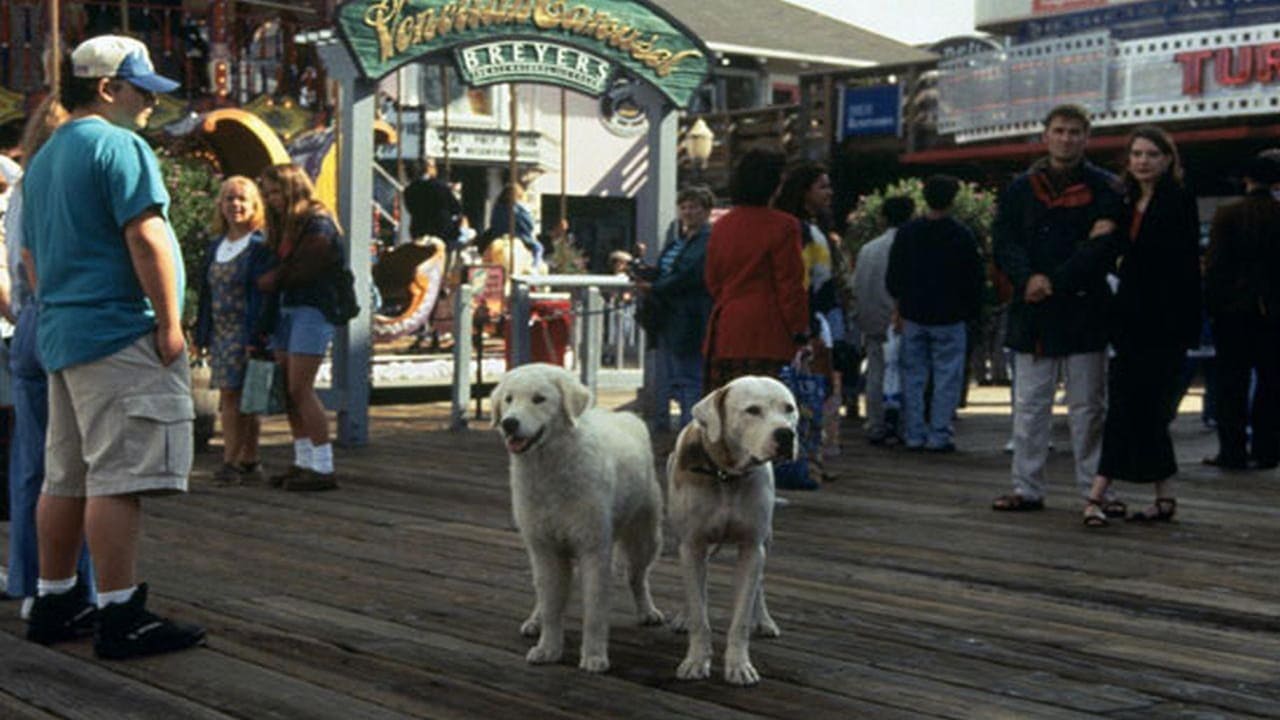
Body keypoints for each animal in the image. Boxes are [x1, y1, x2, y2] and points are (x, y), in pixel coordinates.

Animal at [491, 361, 665, 671]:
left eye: (539, 399)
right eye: (508, 399)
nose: (508, 423)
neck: (550, 470)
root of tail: (627, 417)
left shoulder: (594, 549)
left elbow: (594, 611)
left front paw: (594, 656)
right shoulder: (545, 548)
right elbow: (551, 606)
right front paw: (548, 648)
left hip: (646, 539)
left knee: (637, 577)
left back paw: (647, 611)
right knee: (543, 593)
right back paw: (535, 620)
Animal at [665, 371, 793, 681]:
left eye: (789, 409)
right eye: (752, 410)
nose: (786, 434)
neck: (726, 475)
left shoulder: (752, 547)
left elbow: (742, 615)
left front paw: (739, 665)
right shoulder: (692, 545)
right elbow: (699, 611)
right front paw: (696, 660)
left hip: (766, 540)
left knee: (759, 583)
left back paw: (765, 620)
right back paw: (684, 615)